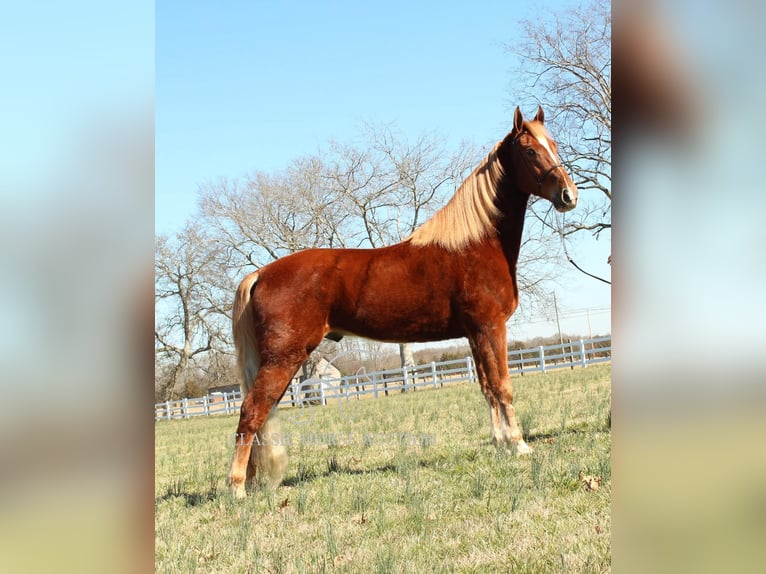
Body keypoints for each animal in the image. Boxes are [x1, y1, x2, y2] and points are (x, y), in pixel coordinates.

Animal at [228, 107, 576, 500]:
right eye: (530, 151)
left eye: (554, 145)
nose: (568, 195)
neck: (474, 243)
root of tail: (260, 273)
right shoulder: (491, 327)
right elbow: (503, 386)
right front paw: (518, 445)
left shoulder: (475, 333)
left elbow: (487, 387)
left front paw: (500, 443)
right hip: (283, 357)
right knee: (251, 411)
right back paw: (237, 489)